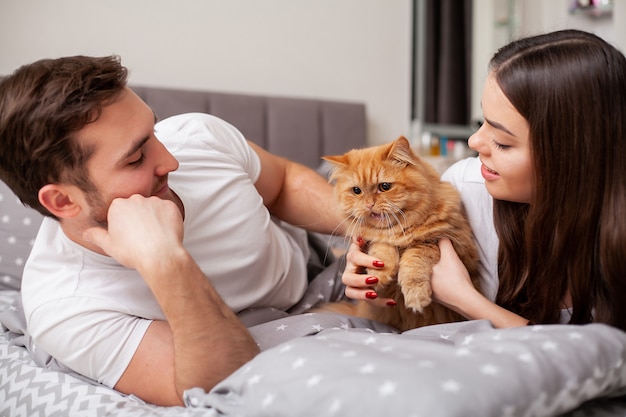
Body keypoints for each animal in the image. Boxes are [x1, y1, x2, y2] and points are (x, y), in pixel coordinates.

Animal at [320, 136, 480, 332]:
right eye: (356, 191)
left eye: (384, 186)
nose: (369, 204)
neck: (398, 231)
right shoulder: (374, 241)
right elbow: (382, 248)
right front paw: (379, 273)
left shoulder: (453, 243)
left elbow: (414, 258)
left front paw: (416, 295)